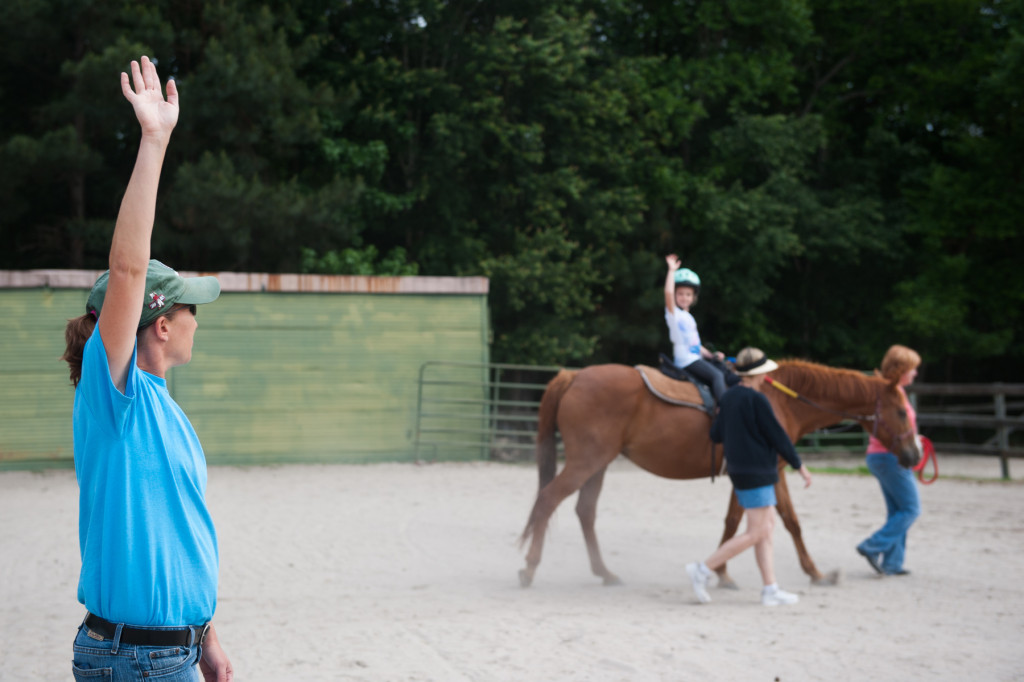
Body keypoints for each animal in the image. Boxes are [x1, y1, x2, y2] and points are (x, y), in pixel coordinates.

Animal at [520, 358, 921, 585]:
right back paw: (529, 569)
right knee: (547, 499)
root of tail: (574, 377)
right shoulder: (766, 470)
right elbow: (767, 522)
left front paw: (814, 573)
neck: (780, 401)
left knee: (584, 512)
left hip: (598, 464)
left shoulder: (763, 473)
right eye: (902, 411)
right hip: (585, 462)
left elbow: (763, 521)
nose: (915, 454)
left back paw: (604, 573)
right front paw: (724, 572)